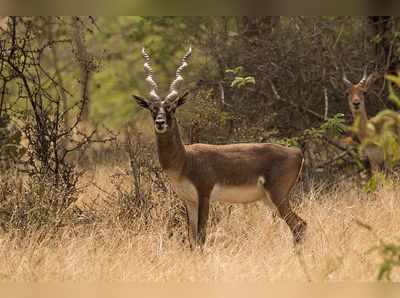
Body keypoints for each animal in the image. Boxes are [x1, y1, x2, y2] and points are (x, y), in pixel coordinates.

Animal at [131, 46, 306, 247]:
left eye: (172, 108)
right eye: (152, 109)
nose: (160, 123)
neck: (185, 161)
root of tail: (297, 152)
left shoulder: (204, 194)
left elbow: (201, 236)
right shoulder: (188, 201)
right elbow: (192, 239)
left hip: (278, 196)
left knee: (299, 225)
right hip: (268, 199)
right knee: (300, 225)